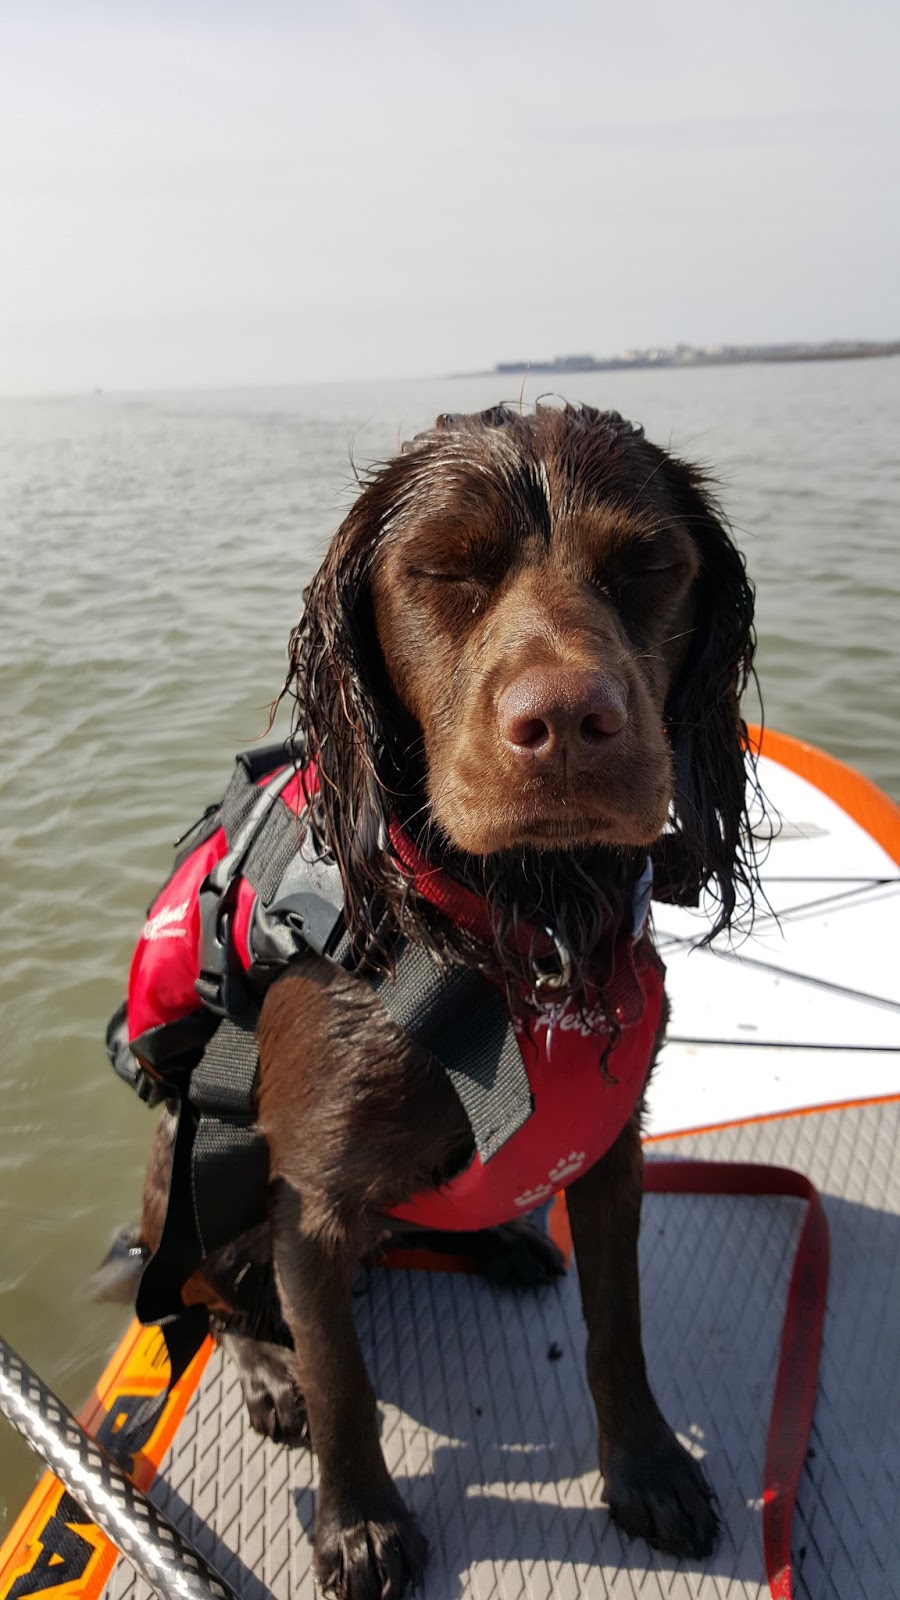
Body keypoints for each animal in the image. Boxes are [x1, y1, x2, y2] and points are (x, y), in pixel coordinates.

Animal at [131, 402, 757, 1599]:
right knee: (205, 1294)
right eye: (441, 572)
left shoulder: (612, 1151)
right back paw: (265, 1367)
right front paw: (360, 1524)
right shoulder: (313, 1204)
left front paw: (648, 1469)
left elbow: (618, 1330)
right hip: (180, 1173)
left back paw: (503, 1239)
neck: (516, 935)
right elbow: (343, 1387)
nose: (567, 721)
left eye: (648, 566)